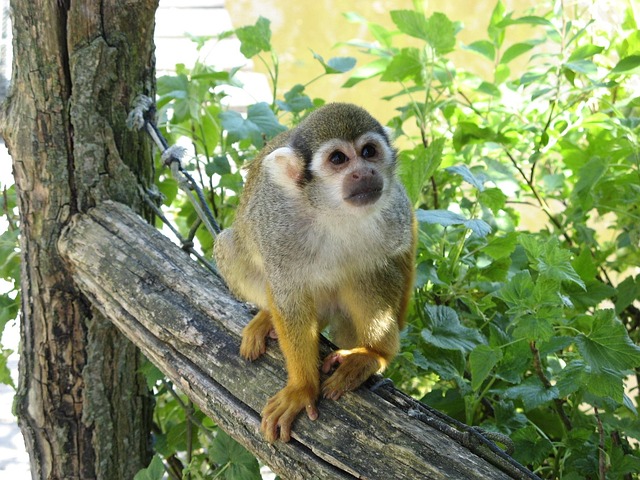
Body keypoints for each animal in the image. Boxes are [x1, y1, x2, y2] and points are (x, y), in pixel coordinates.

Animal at [213, 103, 416, 443]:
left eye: (369, 151)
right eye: (338, 159)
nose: (365, 172)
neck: (331, 210)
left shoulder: (393, 206)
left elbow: (403, 245)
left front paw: (383, 347)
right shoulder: (278, 226)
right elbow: (287, 293)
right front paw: (302, 388)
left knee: (366, 270)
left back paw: (370, 354)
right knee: (230, 245)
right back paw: (268, 317)